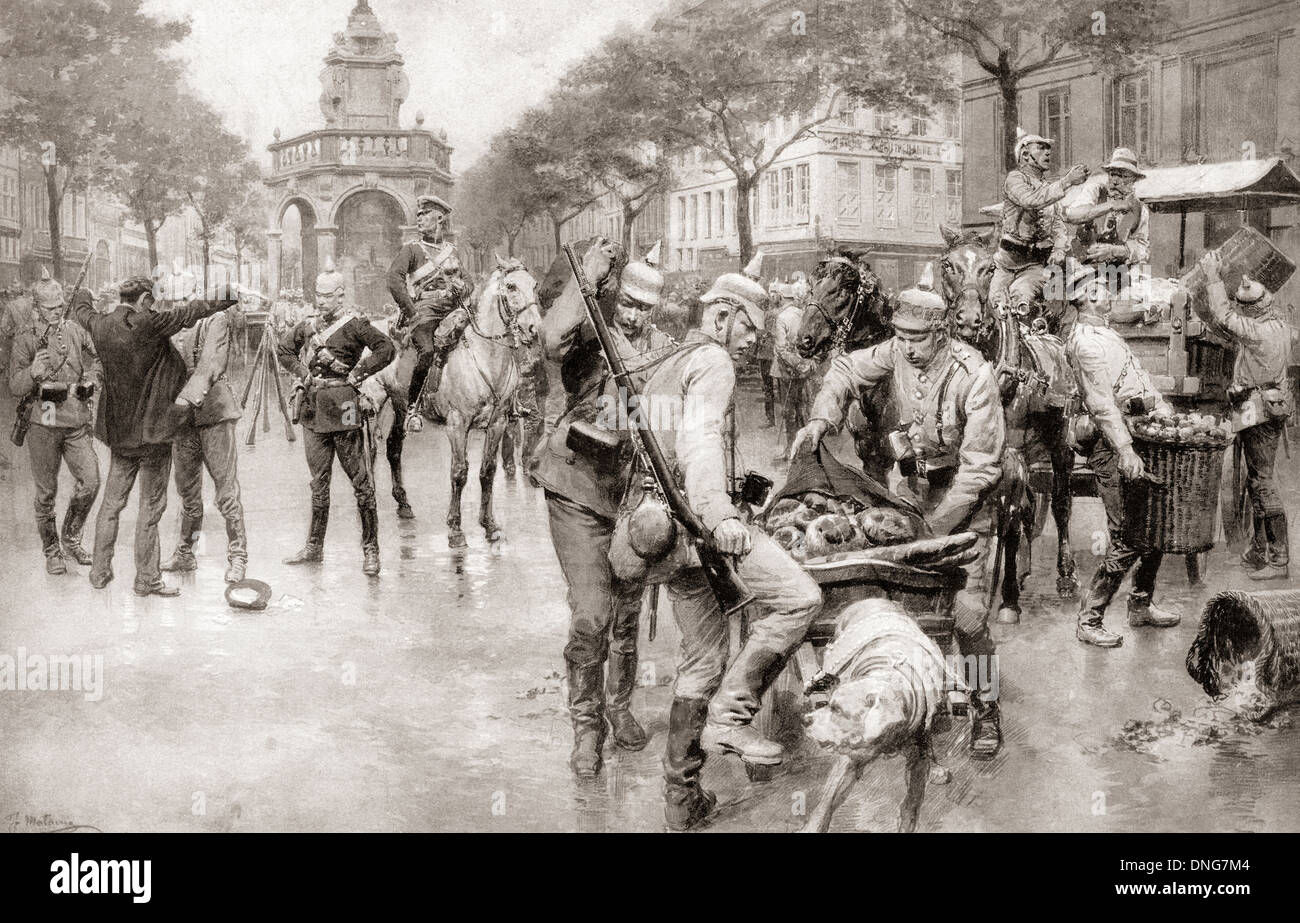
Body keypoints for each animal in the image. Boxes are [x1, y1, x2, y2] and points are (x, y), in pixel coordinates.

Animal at [941, 227, 1081, 626]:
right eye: (948, 265)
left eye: (988, 268)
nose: (968, 320)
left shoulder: (1014, 452)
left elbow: (1011, 515)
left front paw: (1006, 601)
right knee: (1033, 502)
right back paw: (1021, 569)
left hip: (1059, 443)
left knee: (1060, 502)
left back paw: (1065, 575)